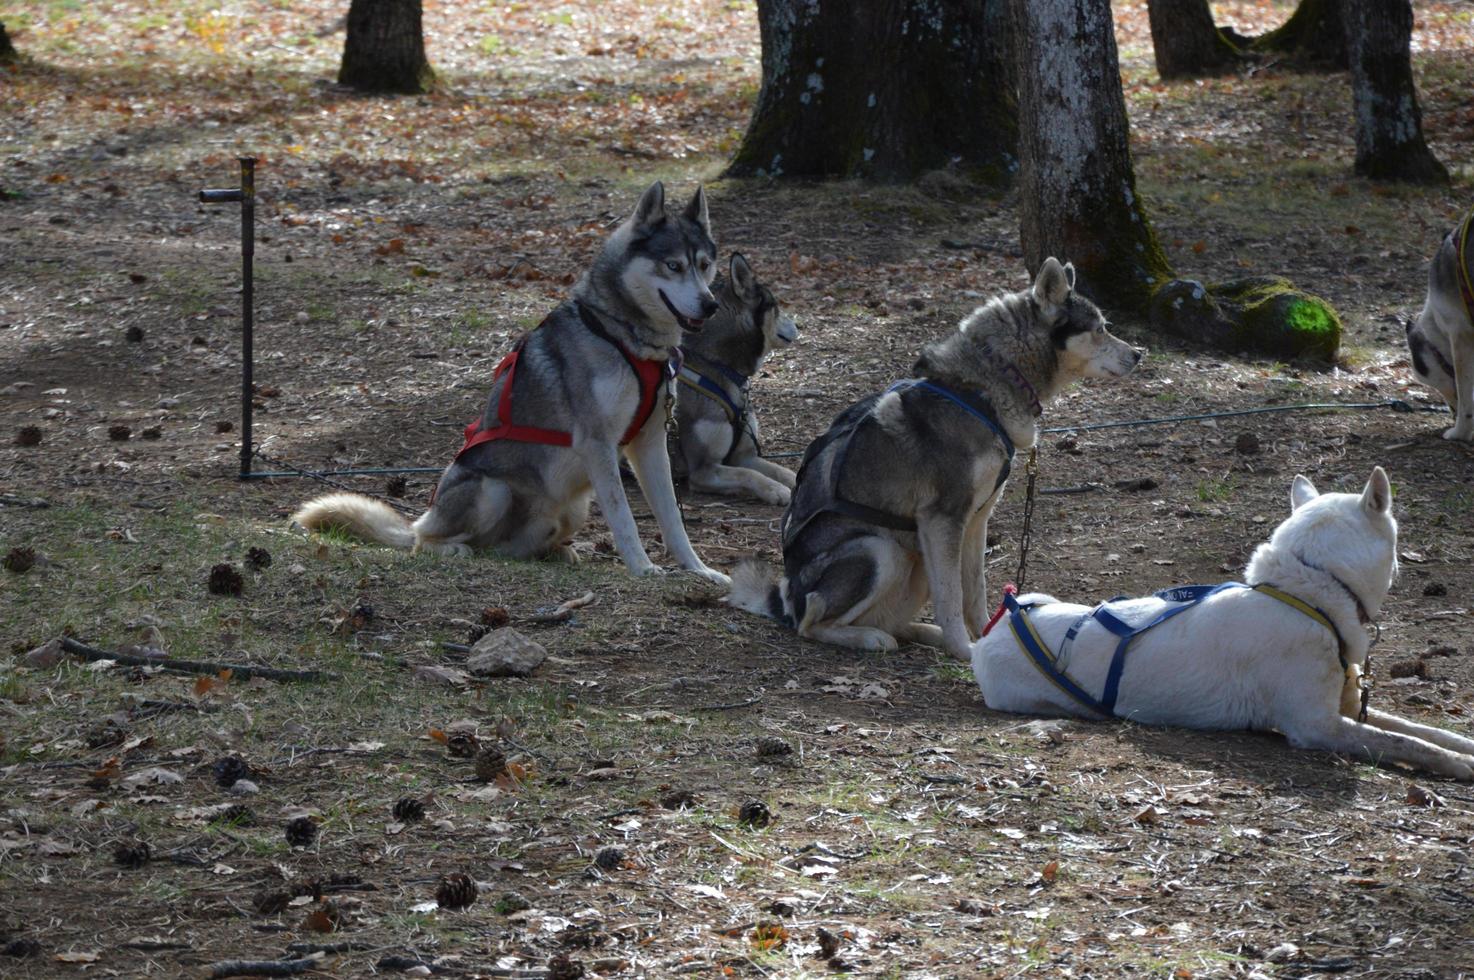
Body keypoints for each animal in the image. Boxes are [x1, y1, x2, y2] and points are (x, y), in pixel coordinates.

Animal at [291, 182, 725, 580]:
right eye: (673, 266)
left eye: (704, 265)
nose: (711, 305)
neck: (624, 338)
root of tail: (426, 515)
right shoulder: (598, 444)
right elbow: (625, 519)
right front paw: (642, 567)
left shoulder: (648, 443)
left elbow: (672, 519)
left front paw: (699, 569)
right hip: (491, 491)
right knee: (424, 541)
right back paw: (453, 550)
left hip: (574, 508)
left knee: (507, 549)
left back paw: (554, 553)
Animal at [675, 252, 801, 504]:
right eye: (776, 306)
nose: (799, 326)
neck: (720, 366)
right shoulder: (703, 470)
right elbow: (747, 474)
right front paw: (775, 490)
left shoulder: (744, 455)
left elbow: (781, 470)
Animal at [731, 256, 1143, 660]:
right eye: (1100, 329)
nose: (1140, 354)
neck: (983, 390)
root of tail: (785, 600)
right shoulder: (944, 519)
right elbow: (952, 598)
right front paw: (966, 650)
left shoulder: (975, 521)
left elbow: (975, 593)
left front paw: (987, 637)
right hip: (882, 551)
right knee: (812, 623)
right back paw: (871, 638)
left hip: (917, 560)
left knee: (888, 621)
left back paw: (922, 633)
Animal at [978, 465, 1474, 778]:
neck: (1306, 594)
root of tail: (997, 627)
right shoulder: (1319, 725)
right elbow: (1410, 745)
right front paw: (1460, 766)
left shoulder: (1350, 709)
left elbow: (1426, 732)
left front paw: (1463, 747)